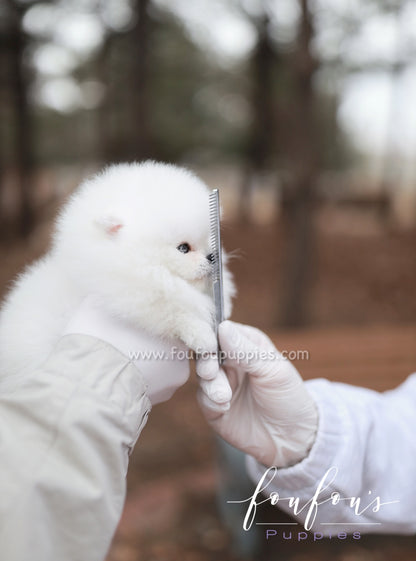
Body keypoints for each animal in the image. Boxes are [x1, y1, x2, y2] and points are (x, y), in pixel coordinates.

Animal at [0, 160, 234, 382]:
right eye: (183, 248)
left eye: (211, 241)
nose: (212, 256)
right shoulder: (129, 293)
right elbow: (169, 310)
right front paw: (202, 334)